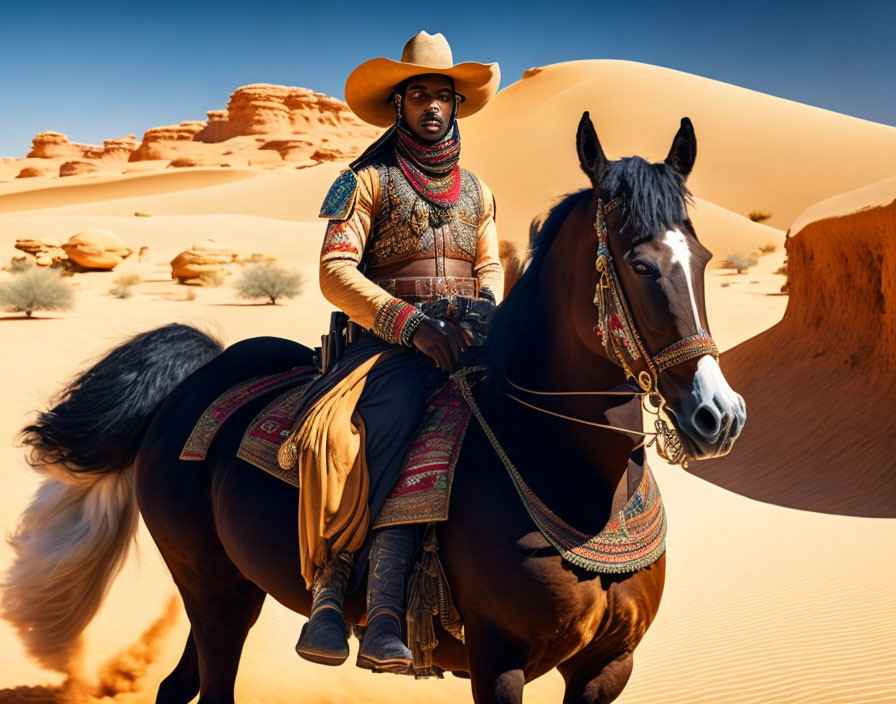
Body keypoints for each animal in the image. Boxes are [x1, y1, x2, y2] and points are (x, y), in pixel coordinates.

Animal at [3, 113, 744, 700]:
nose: (718, 415)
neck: (578, 485)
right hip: (211, 587)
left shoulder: (606, 667)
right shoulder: (498, 660)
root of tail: (198, 377)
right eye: (639, 264)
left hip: (231, 585)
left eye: (704, 257)